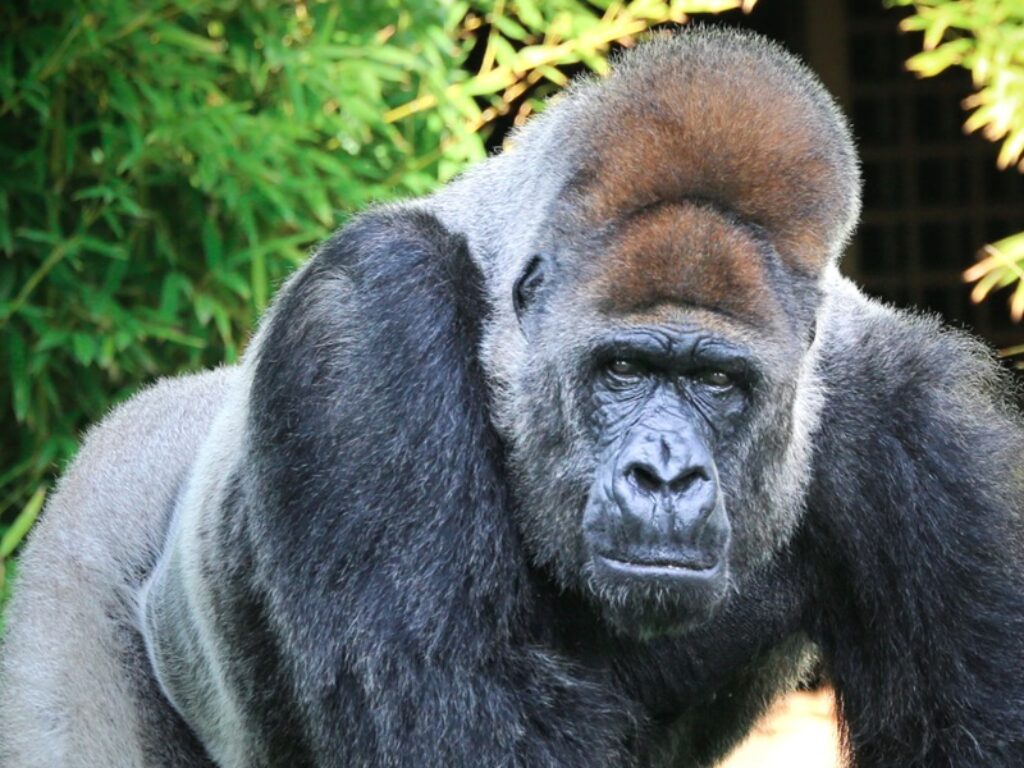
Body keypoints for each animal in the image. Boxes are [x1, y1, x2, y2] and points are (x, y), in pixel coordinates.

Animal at [3, 27, 1024, 768]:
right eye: (622, 370)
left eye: (717, 383)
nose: (665, 476)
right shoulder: (366, 318)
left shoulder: (938, 434)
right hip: (75, 556)